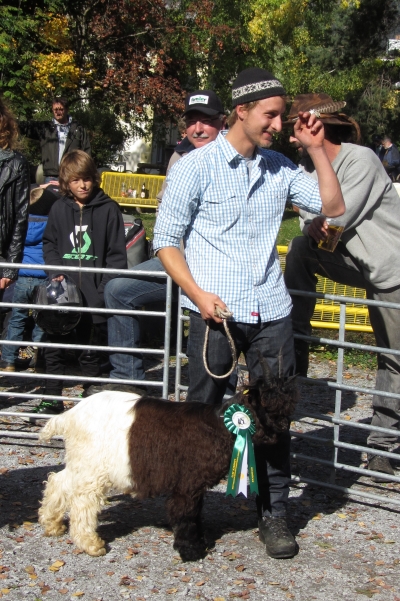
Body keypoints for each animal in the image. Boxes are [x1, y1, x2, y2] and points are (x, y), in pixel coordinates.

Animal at [39, 364, 296, 560]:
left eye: (286, 406)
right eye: (267, 406)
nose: (284, 428)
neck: (220, 426)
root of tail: (69, 417)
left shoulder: (195, 485)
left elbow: (195, 513)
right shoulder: (187, 484)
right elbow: (185, 515)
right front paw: (191, 550)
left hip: (82, 461)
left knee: (58, 482)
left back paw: (52, 524)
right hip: (92, 466)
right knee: (83, 501)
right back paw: (91, 543)